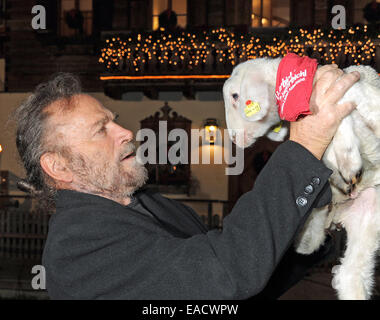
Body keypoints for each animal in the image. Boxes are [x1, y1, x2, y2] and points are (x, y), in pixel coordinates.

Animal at [223, 58, 380, 300]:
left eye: (235, 96)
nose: (234, 138)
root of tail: (339, 215)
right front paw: (343, 168)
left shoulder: (355, 96)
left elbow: (347, 121)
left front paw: (348, 163)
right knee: (349, 273)